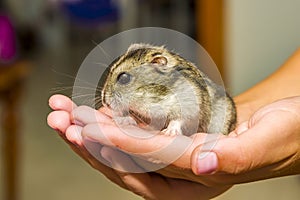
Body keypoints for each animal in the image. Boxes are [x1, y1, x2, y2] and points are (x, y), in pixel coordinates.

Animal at [99, 42, 236, 135]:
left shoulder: (190, 105)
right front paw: (125, 121)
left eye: (124, 78)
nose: (105, 103)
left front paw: (169, 132)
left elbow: (178, 119)